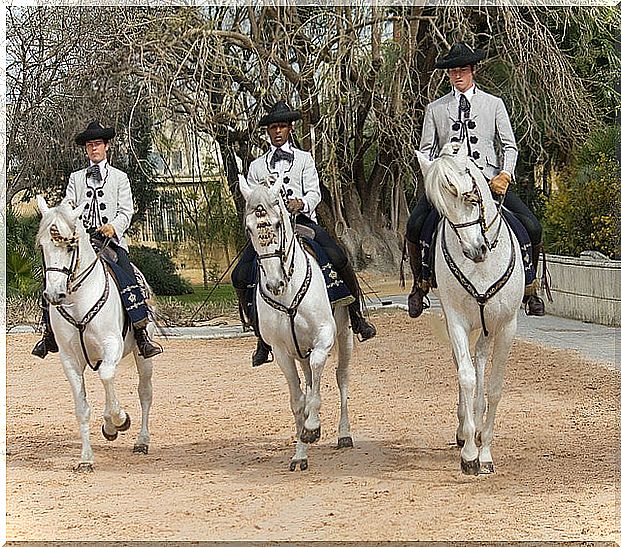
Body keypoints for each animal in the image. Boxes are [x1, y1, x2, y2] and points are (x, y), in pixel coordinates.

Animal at [36, 196, 154, 470]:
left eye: (70, 247)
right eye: (43, 247)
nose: (54, 294)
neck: (78, 301)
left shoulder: (112, 346)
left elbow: (107, 376)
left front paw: (119, 419)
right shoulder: (69, 359)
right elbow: (82, 408)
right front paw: (86, 458)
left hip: (143, 355)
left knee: (144, 392)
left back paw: (141, 441)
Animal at [246, 176, 356, 470]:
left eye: (276, 224)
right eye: (249, 229)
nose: (274, 283)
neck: (288, 291)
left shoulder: (324, 337)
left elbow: (317, 379)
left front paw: (313, 427)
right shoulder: (282, 351)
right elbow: (297, 400)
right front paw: (300, 453)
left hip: (345, 336)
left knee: (341, 377)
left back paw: (344, 434)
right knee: (308, 380)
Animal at [416, 144, 524, 476]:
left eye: (471, 197)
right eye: (440, 209)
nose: (475, 250)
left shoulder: (506, 325)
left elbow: (495, 386)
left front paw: (485, 452)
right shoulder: (456, 320)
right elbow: (465, 376)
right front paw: (469, 454)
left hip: (490, 325)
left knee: (481, 359)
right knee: (467, 365)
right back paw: (466, 428)